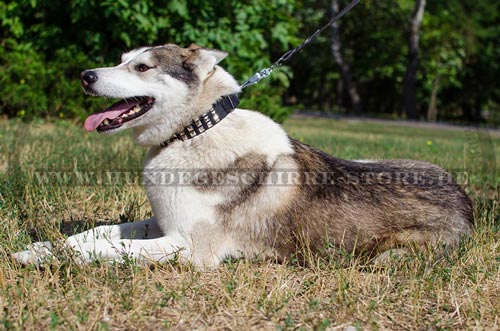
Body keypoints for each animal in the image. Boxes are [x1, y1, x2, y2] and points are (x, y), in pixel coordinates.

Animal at [12, 43, 472, 268]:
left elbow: (108, 250)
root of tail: (468, 202)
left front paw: (42, 257)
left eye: (142, 68)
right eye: (121, 61)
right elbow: (98, 233)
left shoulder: (190, 248)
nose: (85, 76)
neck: (194, 131)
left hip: (390, 256)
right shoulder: (163, 221)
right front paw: (44, 246)